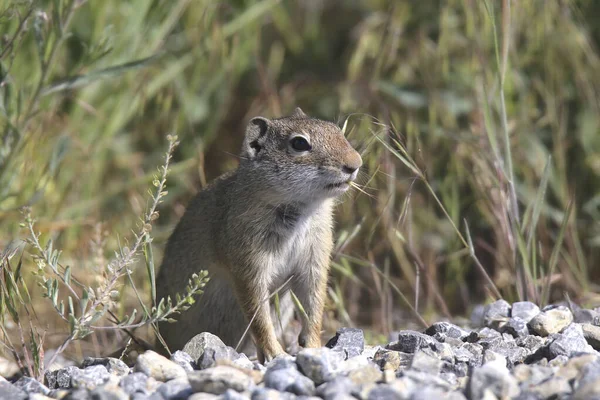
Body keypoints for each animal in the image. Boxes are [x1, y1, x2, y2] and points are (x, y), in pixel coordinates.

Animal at [156, 108, 360, 360]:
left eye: (337, 130)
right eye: (299, 143)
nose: (355, 163)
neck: (301, 210)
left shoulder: (314, 262)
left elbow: (313, 306)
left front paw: (313, 347)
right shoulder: (249, 268)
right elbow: (259, 317)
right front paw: (276, 353)